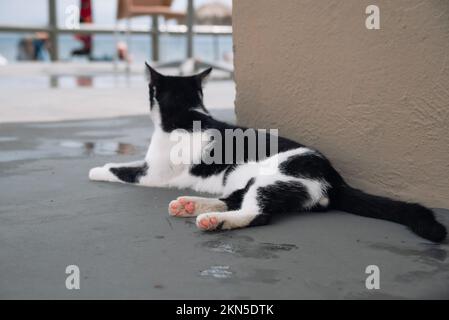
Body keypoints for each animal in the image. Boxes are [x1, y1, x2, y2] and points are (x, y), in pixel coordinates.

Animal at [89, 62, 446, 242]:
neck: (188, 114)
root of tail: (335, 178)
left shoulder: (152, 173)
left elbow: (120, 168)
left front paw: (95, 169)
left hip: (273, 180)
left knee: (256, 213)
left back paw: (213, 221)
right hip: (245, 179)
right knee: (233, 198)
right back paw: (191, 204)